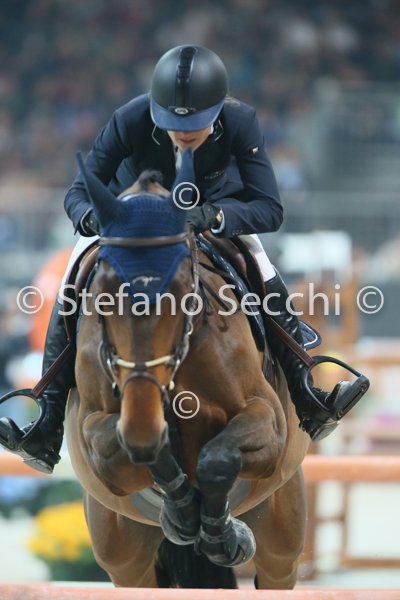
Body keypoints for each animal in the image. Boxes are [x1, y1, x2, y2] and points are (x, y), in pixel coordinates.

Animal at [66, 149, 311, 589]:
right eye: (105, 289)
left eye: (180, 285)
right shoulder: (97, 438)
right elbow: (139, 450)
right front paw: (182, 511)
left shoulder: (267, 420)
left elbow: (217, 459)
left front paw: (220, 533)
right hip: (125, 558)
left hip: (281, 533)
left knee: (275, 564)